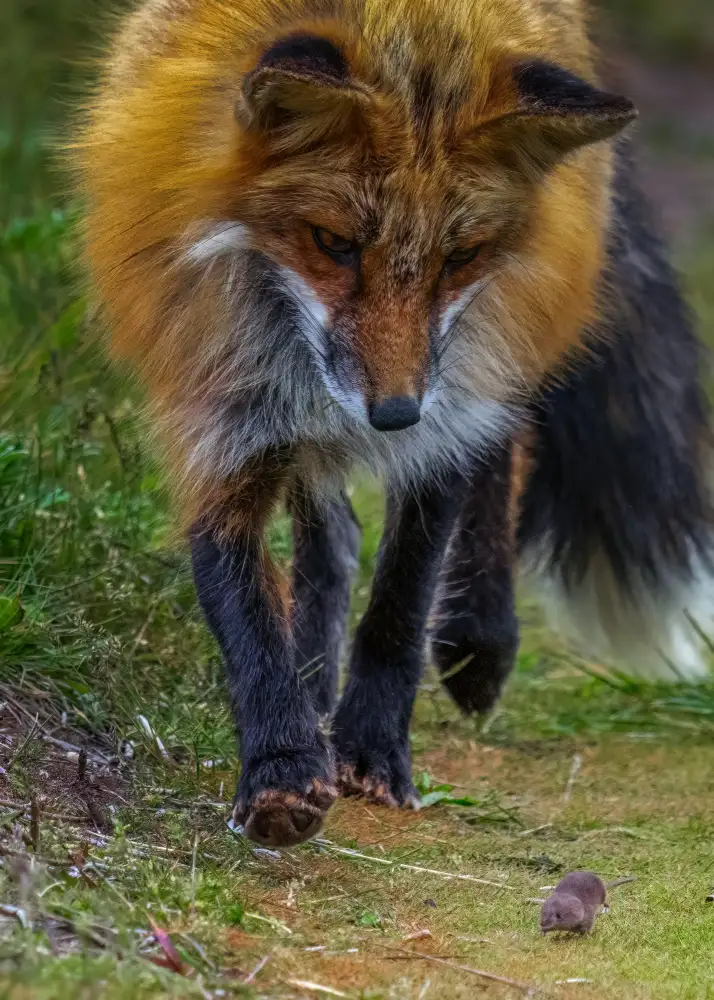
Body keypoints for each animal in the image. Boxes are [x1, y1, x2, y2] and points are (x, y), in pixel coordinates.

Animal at [75, 0, 712, 847]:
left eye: (461, 256)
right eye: (334, 243)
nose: (395, 414)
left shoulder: (442, 421)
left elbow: (402, 601)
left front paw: (373, 747)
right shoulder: (219, 417)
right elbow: (242, 608)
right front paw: (281, 763)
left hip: (500, 343)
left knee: (500, 447)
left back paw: (479, 639)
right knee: (334, 532)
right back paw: (317, 676)